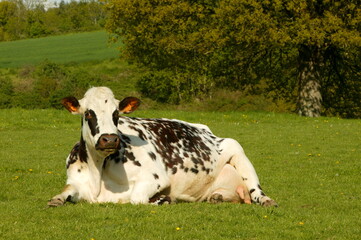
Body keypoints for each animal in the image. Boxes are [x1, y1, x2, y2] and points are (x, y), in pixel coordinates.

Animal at [47, 87, 278, 207]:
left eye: (116, 114)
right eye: (88, 113)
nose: (109, 139)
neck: (98, 175)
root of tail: (206, 129)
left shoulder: (155, 178)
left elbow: (137, 199)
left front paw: (162, 199)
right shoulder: (75, 181)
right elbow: (65, 191)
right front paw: (55, 200)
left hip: (236, 149)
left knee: (255, 188)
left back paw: (266, 200)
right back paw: (218, 197)